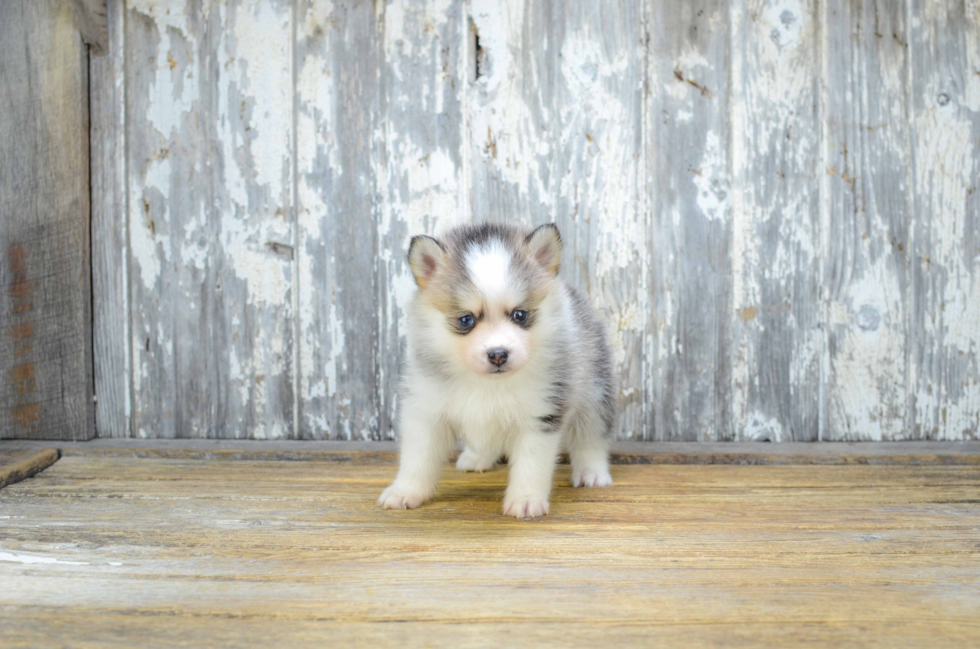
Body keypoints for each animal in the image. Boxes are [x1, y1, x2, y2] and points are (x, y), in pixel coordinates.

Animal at [378, 225, 616, 520]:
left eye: (520, 315)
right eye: (466, 319)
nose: (498, 354)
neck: (486, 384)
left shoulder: (541, 415)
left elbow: (531, 465)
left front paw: (525, 500)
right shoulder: (426, 410)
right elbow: (417, 459)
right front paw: (405, 491)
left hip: (594, 394)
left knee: (590, 437)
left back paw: (592, 473)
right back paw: (477, 457)